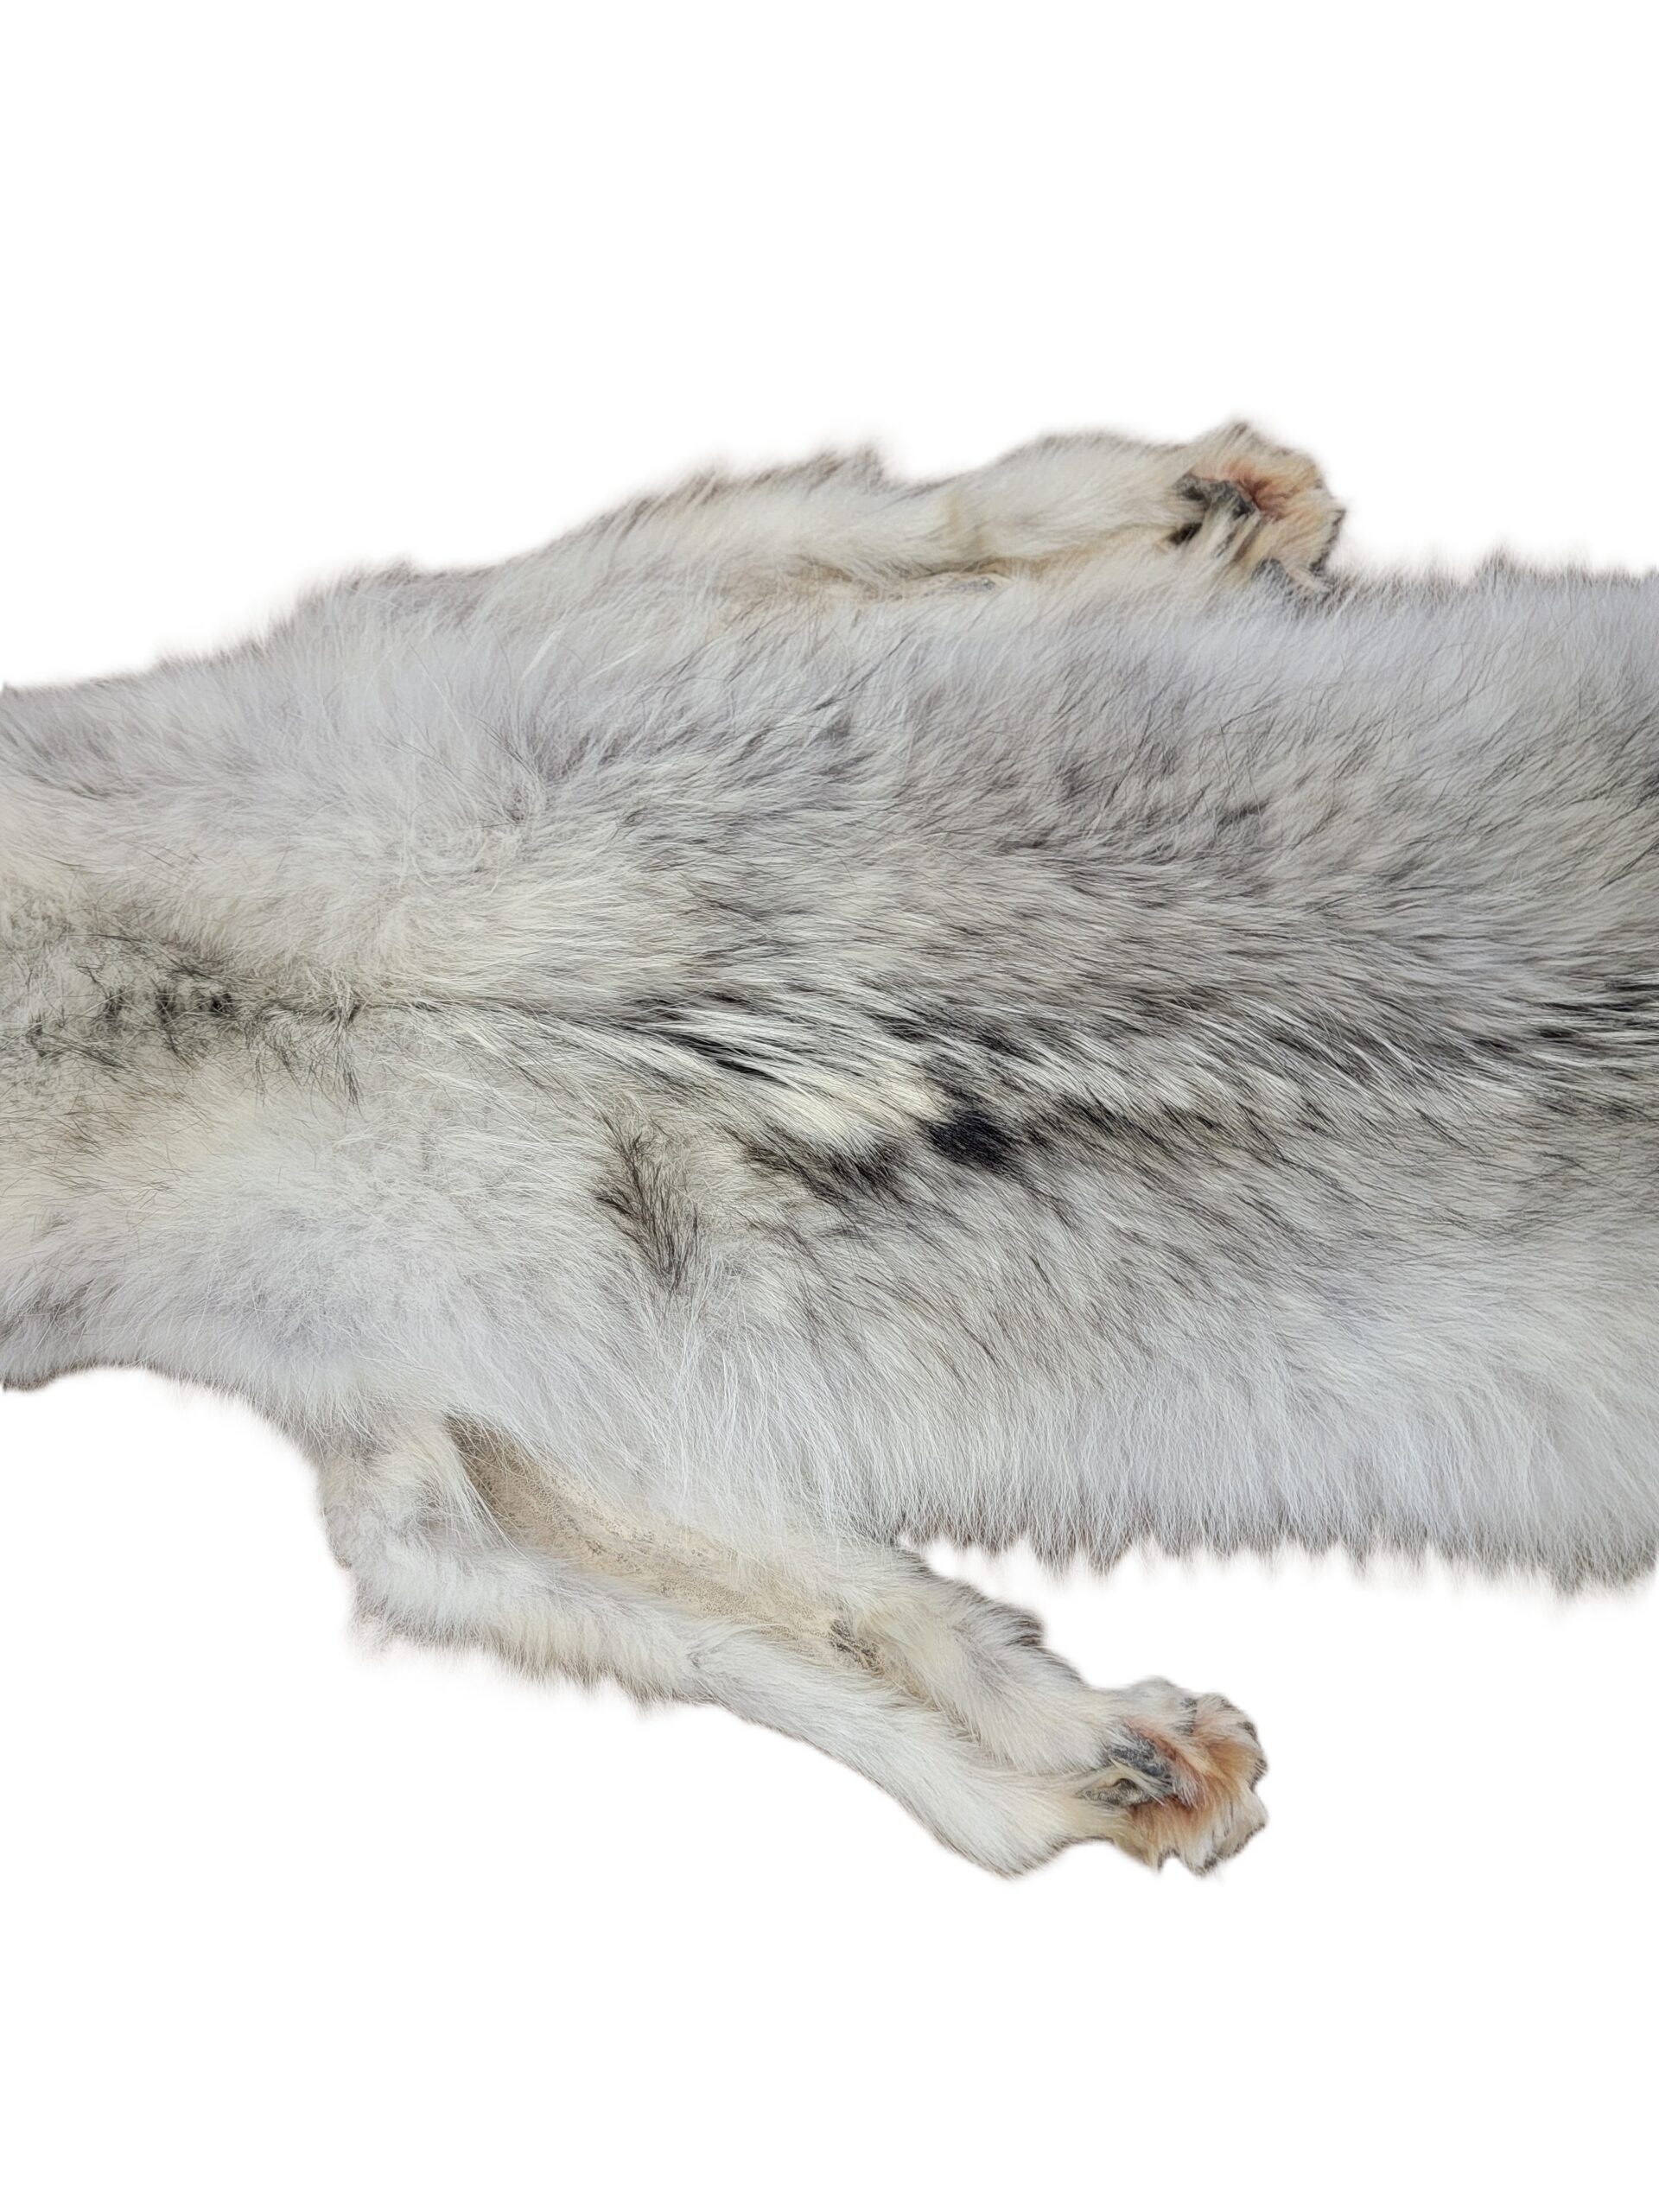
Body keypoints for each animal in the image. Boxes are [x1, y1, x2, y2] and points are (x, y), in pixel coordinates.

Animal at [6, 418, 1657, 1874]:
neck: (116, 1015)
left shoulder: (413, 631)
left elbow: (825, 525)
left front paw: (1221, 507)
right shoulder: (449, 1419)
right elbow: (814, 1631)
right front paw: (1122, 1761)